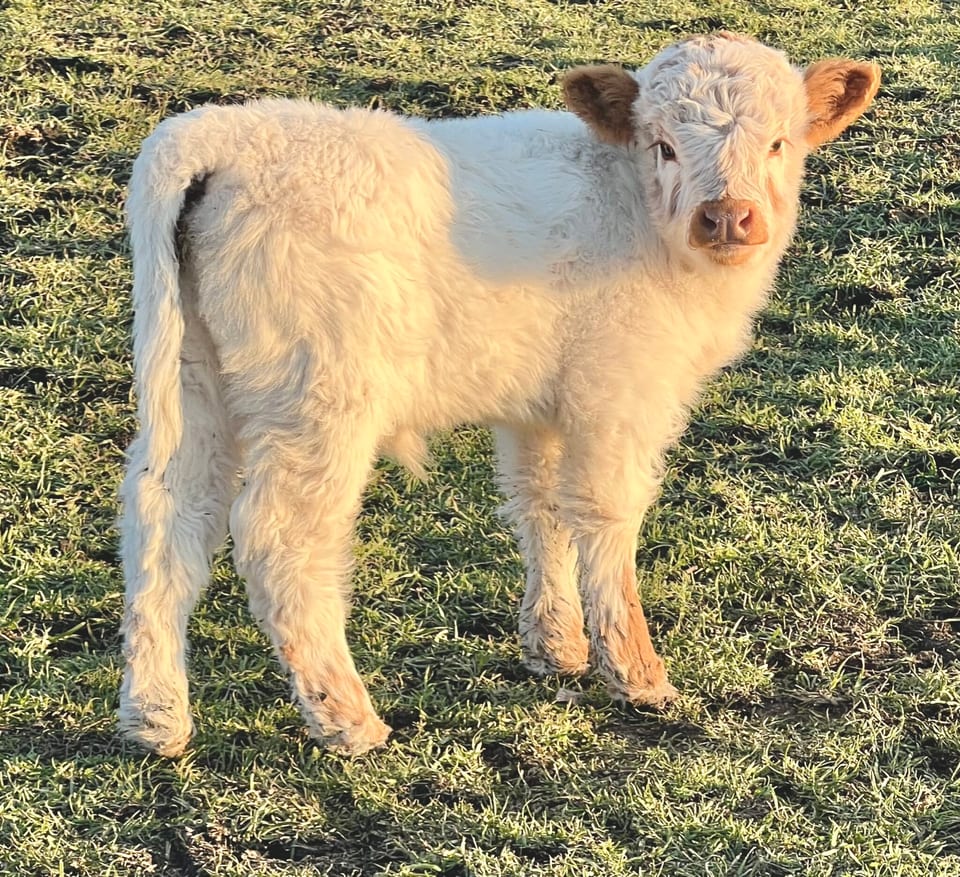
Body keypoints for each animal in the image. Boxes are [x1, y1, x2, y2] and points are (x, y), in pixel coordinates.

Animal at [118, 33, 880, 756]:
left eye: (778, 141)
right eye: (662, 144)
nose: (726, 217)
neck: (634, 205)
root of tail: (220, 135)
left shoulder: (539, 408)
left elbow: (540, 505)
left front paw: (556, 645)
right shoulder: (619, 393)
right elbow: (605, 514)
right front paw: (636, 672)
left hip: (194, 380)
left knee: (167, 515)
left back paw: (156, 716)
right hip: (316, 400)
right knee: (280, 537)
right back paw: (346, 719)